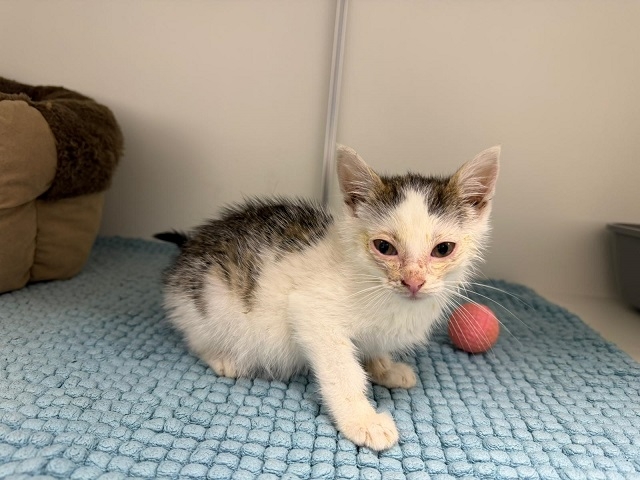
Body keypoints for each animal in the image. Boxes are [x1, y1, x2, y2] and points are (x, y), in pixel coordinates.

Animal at [156, 144, 500, 451]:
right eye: (384, 247)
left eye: (443, 249)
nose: (413, 282)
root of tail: (190, 246)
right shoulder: (312, 312)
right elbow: (342, 369)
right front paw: (362, 419)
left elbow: (372, 348)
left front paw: (384, 368)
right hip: (210, 301)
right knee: (197, 337)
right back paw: (224, 358)